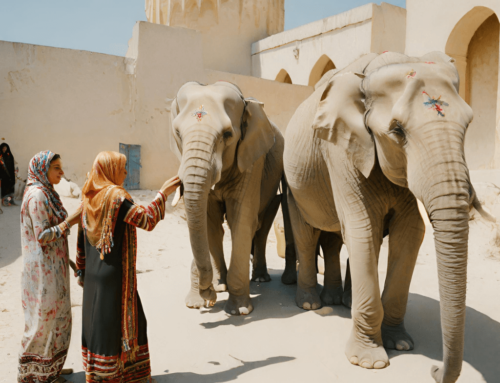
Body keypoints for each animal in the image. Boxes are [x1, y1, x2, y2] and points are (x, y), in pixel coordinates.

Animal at [170, 80, 286, 316]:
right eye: (178, 133)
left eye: (227, 135)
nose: (209, 299)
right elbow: (209, 222)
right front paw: (204, 297)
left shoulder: (252, 160)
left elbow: (241, 220)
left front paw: (239, 310)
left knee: (262, 226)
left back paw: (260, 279)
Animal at [284, 51, 478, 383]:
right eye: (397, 131)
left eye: (468, 124)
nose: (434, 370)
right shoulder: (339, 150)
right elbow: (363, 228)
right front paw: (369, 362)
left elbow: (410, 233)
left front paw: (400, 344)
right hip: (293, 182)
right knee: (309, 235)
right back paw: (311, 303)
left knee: (338, 240)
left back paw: (341, 302)